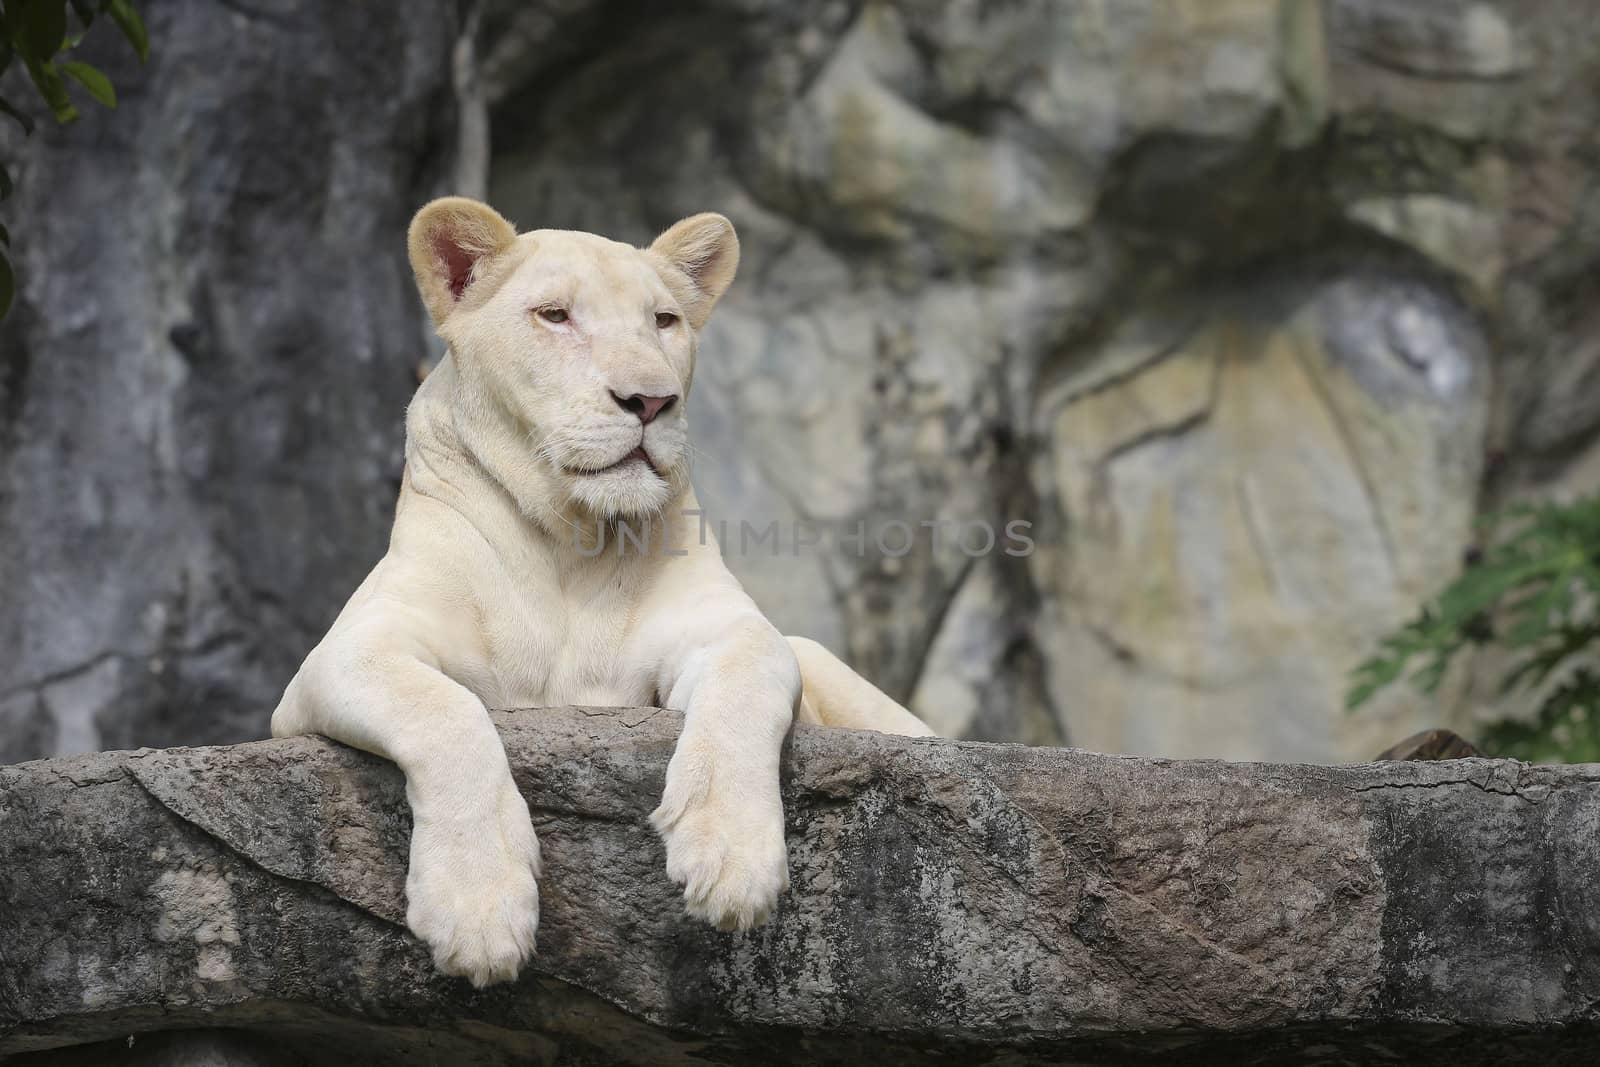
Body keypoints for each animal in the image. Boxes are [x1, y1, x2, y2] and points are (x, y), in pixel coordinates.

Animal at [267, 198, 934, 985]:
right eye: (555, 315)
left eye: (664, 321)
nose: (650, 400)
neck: (571, 544)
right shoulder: (342, 654)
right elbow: (444, 710)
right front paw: (478, 910)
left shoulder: (729, 627)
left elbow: (746, 682)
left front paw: (731, 859)